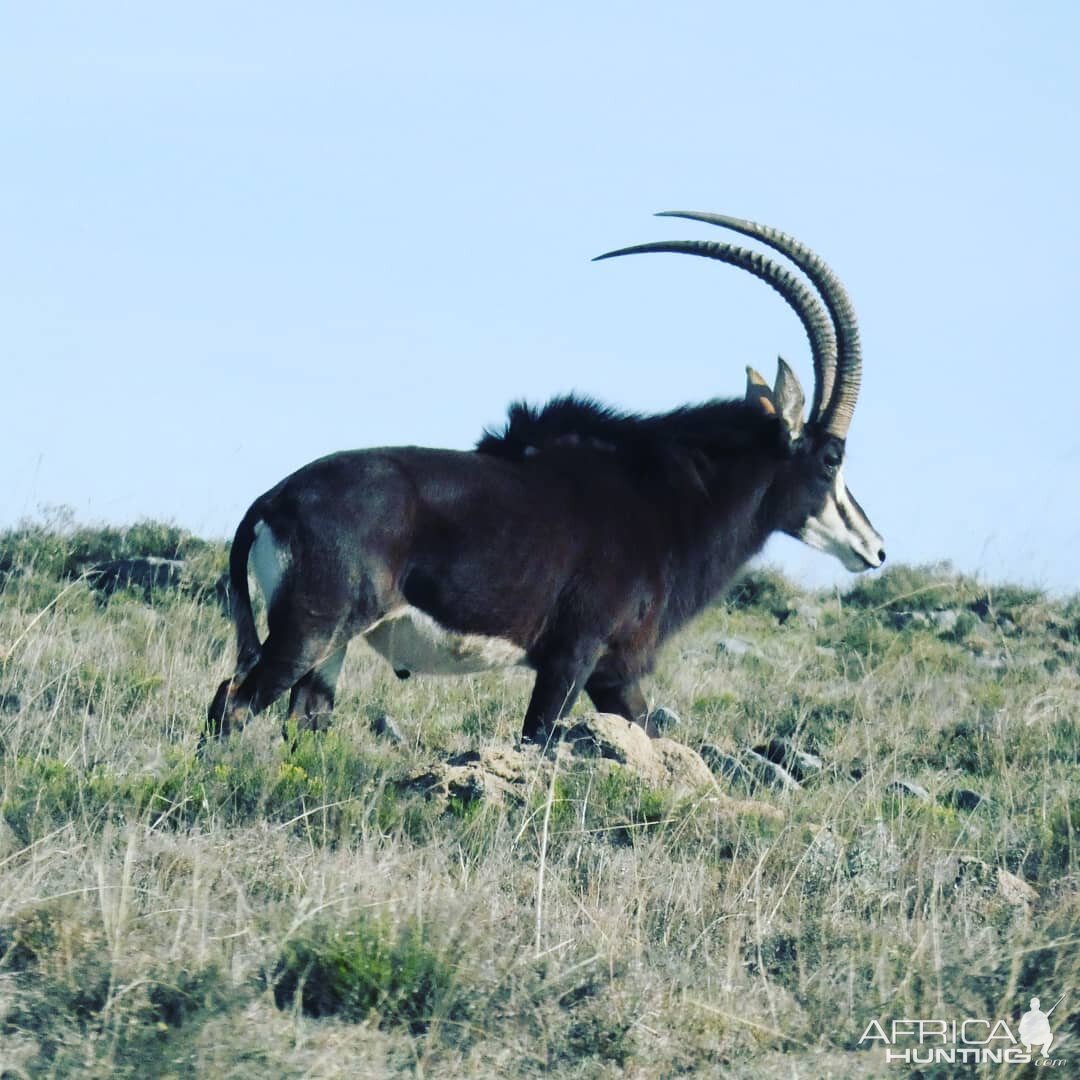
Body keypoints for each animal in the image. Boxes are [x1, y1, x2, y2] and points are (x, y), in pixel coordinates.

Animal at [204, 213, 885, 747]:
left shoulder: (615, 674)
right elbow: (537, 740)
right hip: (310, 631)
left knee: (305, 718)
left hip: (333, 647)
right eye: (832, 458)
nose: (875, 549)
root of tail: (273, 499)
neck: (664, 497)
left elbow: (648, 734)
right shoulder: (571, 657)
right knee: (231, 703)